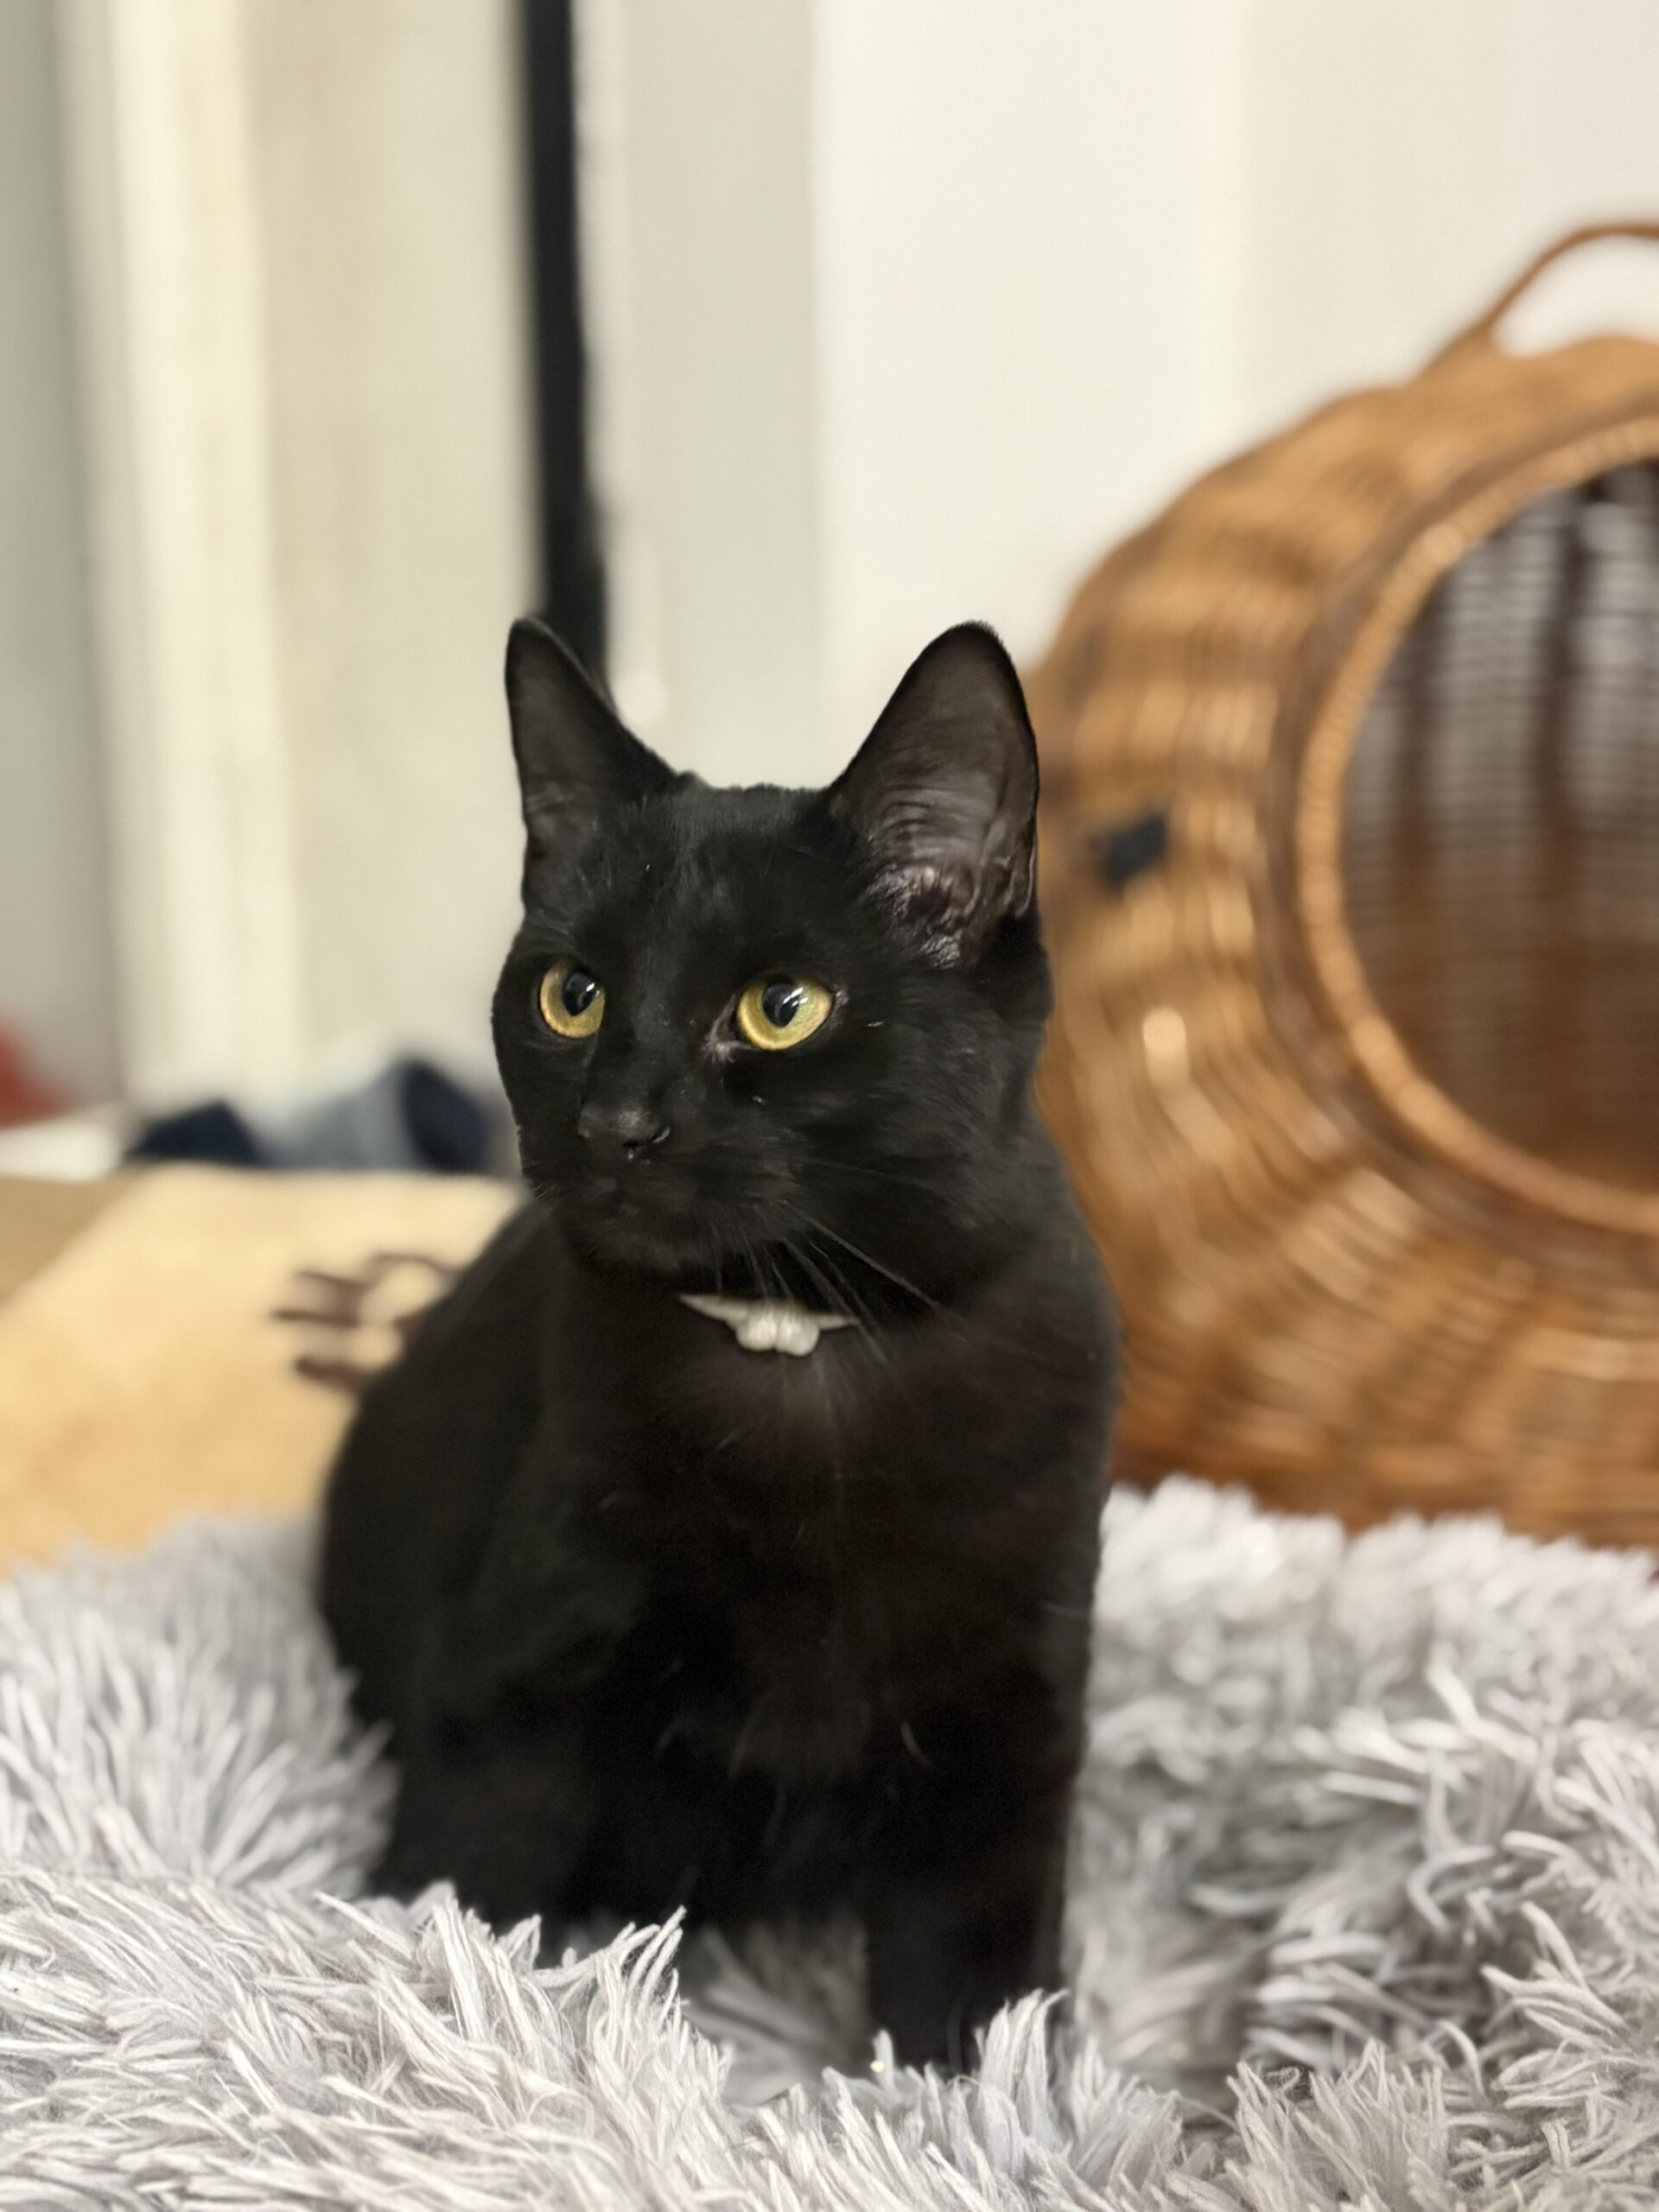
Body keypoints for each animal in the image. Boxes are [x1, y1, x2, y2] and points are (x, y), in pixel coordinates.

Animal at [319, 617, 1117, 2070]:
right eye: (573, 996)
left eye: (781, 1005)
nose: (617, 1122)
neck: (794, 1344)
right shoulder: (511, 1684)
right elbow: (456, 1894)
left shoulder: (1009, 1732)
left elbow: (978, 2003)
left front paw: (976, 2102)